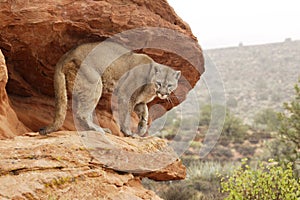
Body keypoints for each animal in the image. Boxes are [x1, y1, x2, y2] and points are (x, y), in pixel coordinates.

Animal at [39, 41, 180, 137]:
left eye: (170, 85)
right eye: (159, 83)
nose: (163, 94)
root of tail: (66, 55)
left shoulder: (139, 101)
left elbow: (144, 111)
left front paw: (142, 128)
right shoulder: (126, 94)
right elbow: (126, 114)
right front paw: (127, 131)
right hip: (94, 83)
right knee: (82, 113)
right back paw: (99, 129)